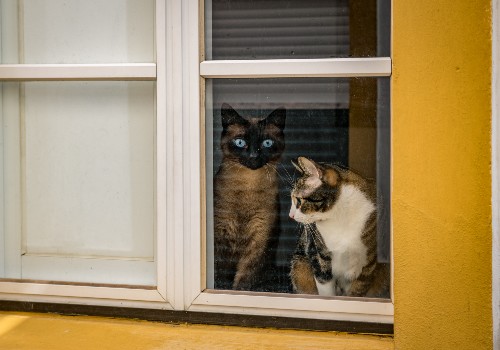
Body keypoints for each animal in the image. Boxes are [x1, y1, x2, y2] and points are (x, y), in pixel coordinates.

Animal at [214, 102, 288, 292]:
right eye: (240, 142)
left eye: (267, 143)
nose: (254, 156)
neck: (248, 187)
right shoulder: (220, 237)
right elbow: (219, 279)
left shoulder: (259, 239)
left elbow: (244, 280)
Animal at [290, 157, 390, 296]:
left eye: (299, 200)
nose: (290, 215)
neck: (339, 217)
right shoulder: (319, 256)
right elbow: (326, 289)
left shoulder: (368, 262)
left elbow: (357, 289)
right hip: (300, 266)